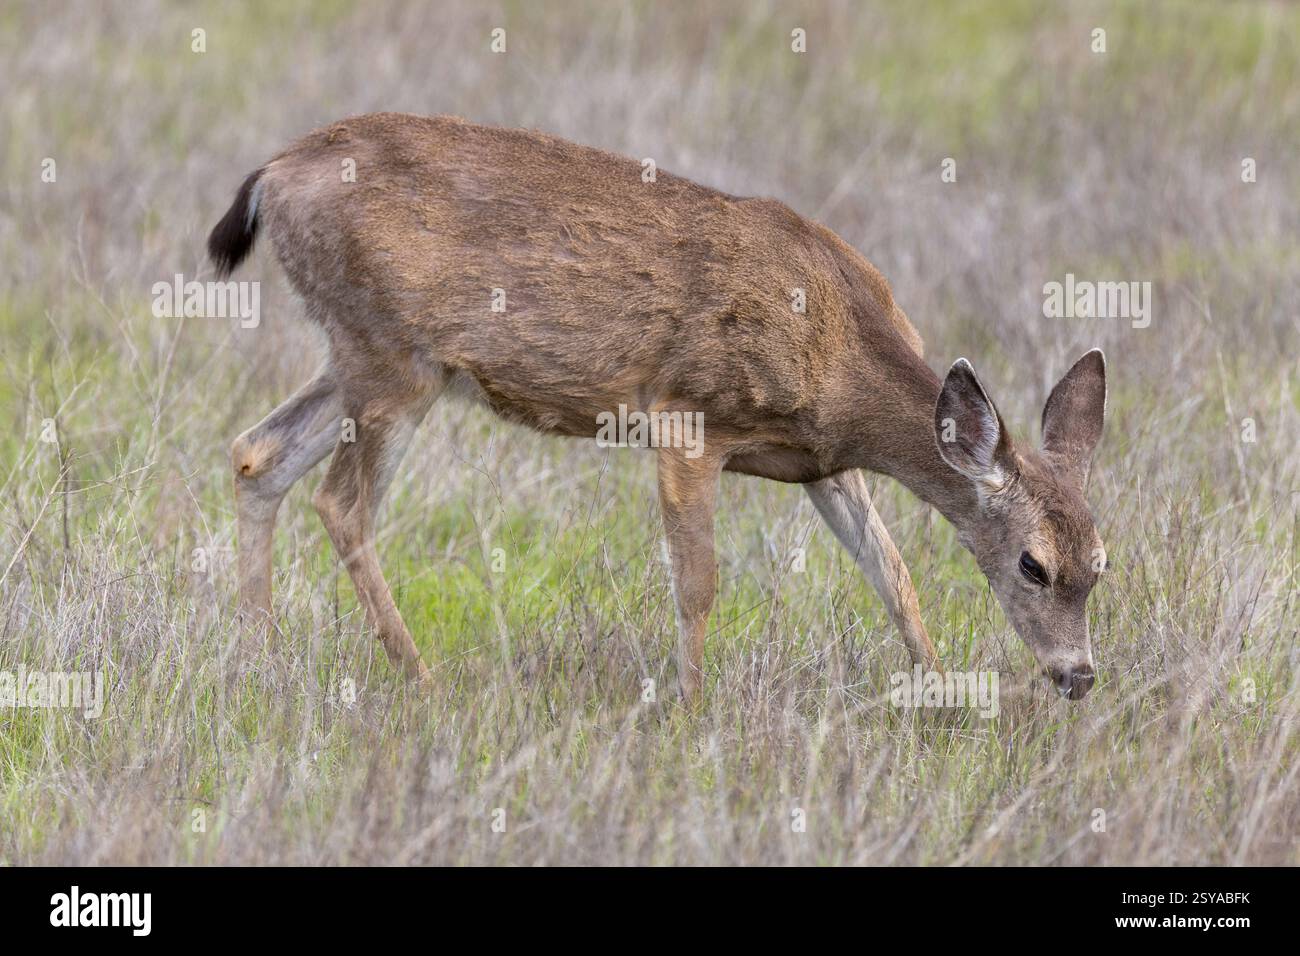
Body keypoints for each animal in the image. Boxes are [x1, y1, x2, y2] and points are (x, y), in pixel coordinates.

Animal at [210, 113, 1107, 704]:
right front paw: (691, 710)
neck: (841, 355)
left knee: (258, 454)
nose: (1078, 676)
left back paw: (257, 664)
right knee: (341, 502)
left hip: (356, 355)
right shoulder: (686, 420)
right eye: (1033, 564)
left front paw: (943, 696)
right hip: (394, 357)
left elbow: (893, 576)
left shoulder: (823, 462)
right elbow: (699, 583)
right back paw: (420, 678)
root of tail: (272, 175)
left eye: (1101, 562)